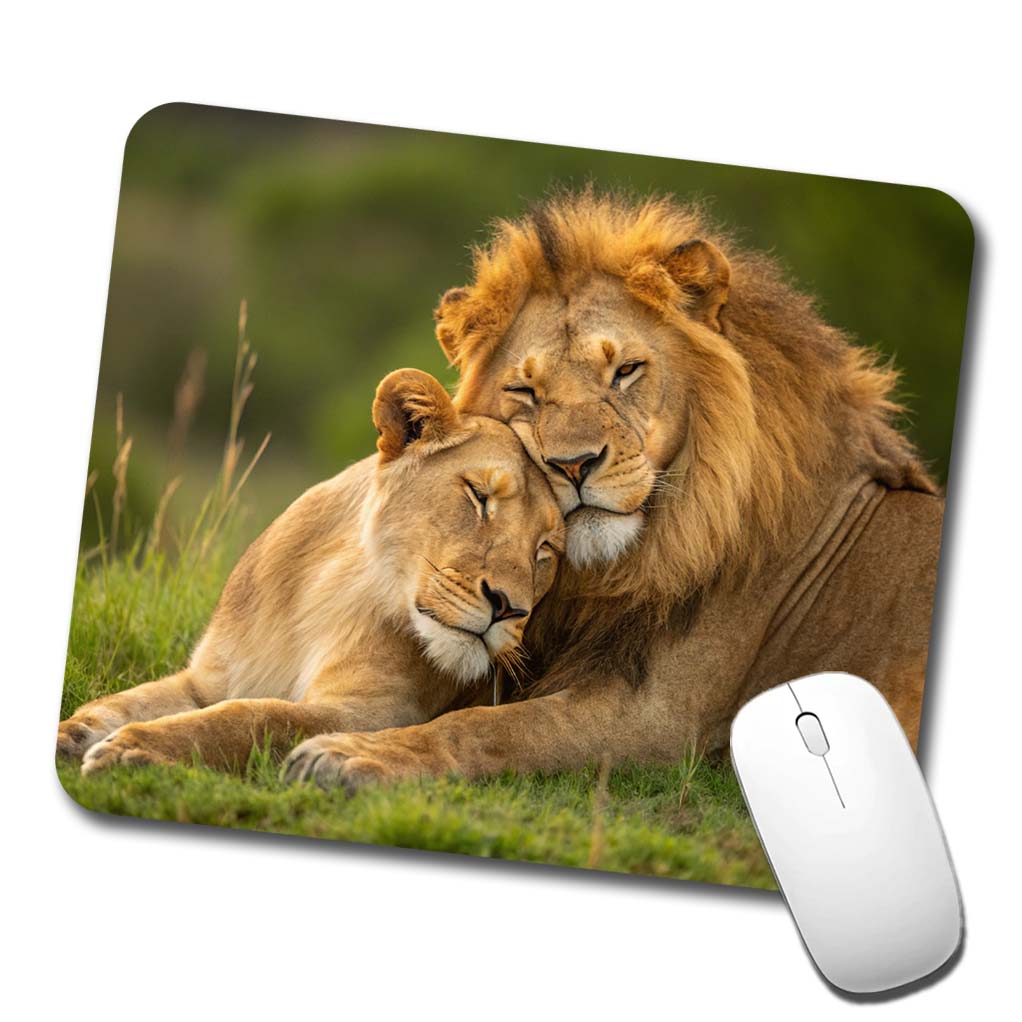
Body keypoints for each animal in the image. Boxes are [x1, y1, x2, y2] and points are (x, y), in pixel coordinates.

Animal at [57, 368, 563, 782]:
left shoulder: (373, 715)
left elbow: (252, 717)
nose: (509, 608)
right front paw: (73, 733)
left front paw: (134, 747)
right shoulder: (207, 679)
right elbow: (126, 701)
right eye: (479, 496)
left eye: (545, 550)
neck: (331, 590)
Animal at [278, 190, 946, 789]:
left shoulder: (659, 718)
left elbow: (488, 727)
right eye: (524, 391)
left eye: (624, 371)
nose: (573, 465)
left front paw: (347, 756)